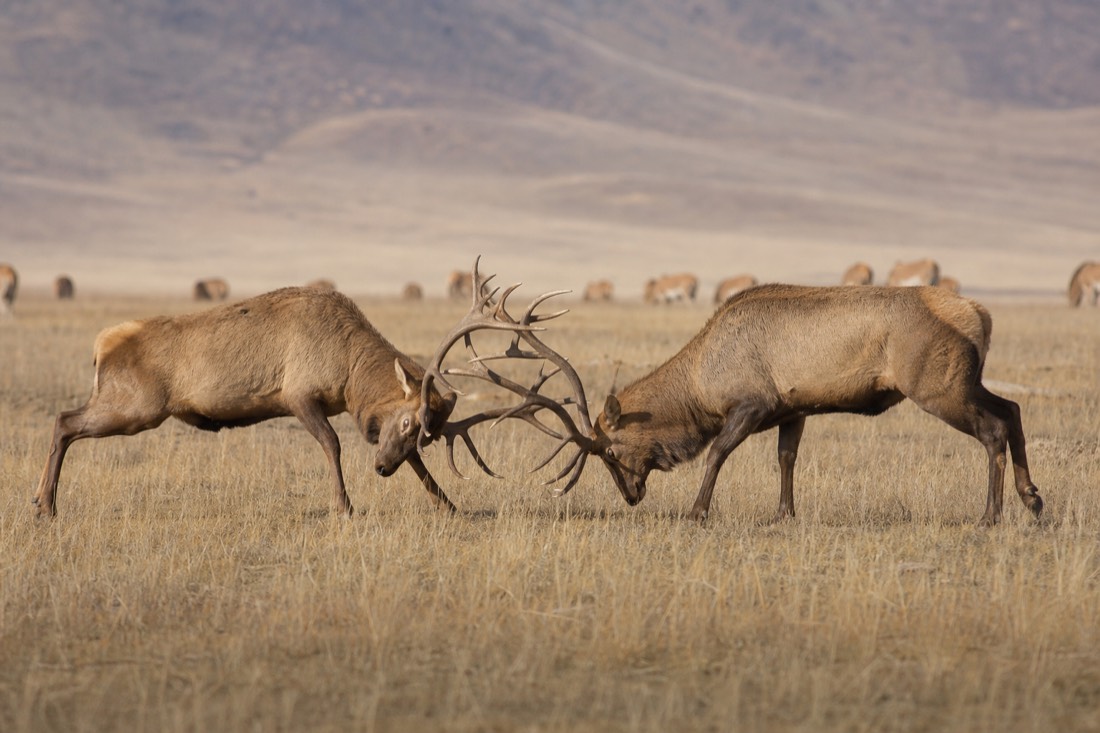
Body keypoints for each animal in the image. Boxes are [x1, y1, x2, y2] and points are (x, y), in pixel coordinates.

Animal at [32, 279, 529, 519]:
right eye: (409, 423)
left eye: (427, 434)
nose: (382, 468)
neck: (349, 372)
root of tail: (100, 345)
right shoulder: (299, 396)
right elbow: (333, 445)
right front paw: (344, 507)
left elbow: (421, 470)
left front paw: (448, 503)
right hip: (136, 408)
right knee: (64, 420)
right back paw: (46, 505)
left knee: (65, 421)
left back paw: (41, 501)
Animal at [468, 283, 1044, 527]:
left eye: (609, 451)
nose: (631, 495)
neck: (699, 385)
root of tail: (980, 313)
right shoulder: (794, 410)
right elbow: (786, 459)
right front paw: (783, 513)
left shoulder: (750, 404)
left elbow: (716, 453)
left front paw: (697, 511)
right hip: (965, 381)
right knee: (1014, 410)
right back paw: (1033, 499)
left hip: (937, 386)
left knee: (993, 429)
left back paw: (990, 514)